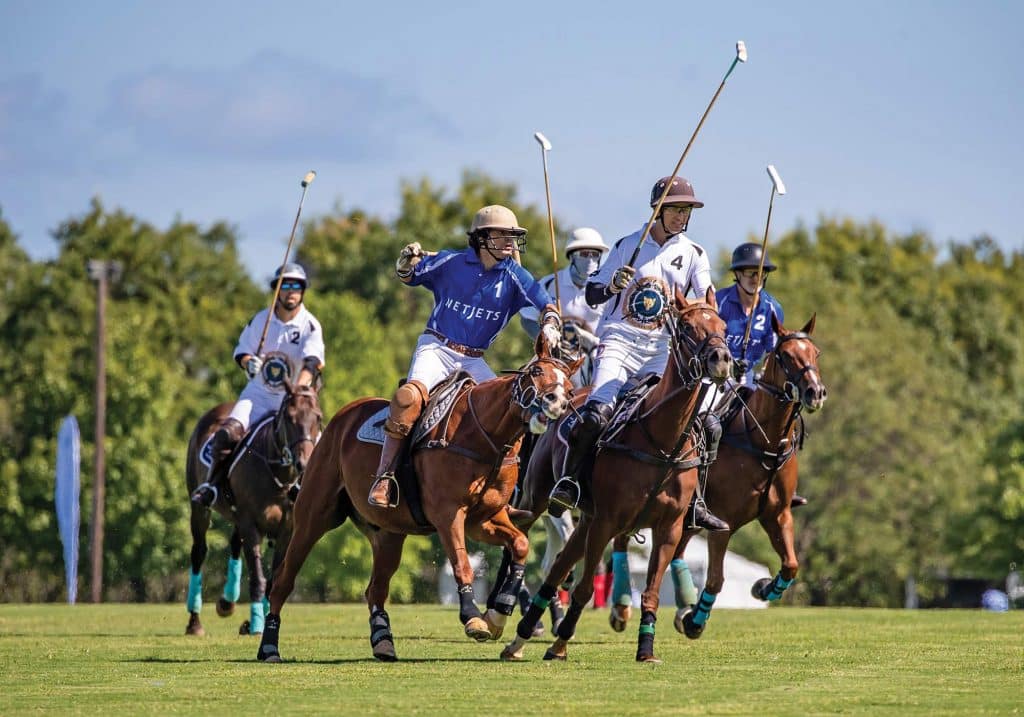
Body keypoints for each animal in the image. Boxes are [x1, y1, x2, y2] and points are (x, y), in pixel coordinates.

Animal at [183, 383, 319, 635]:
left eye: (318, 417)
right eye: (289, 418)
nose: (303, 464)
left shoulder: (287, 530)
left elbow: (275, 579)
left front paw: (261, 620)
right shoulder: (250, 522)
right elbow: (258, 577)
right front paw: (256, 623)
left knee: (234, 544)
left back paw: (227, 602)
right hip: (200, 508)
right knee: (199, 552)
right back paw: (194, 622)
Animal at [254, 333, 577, 659]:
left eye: (570, 387)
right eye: (536, 372)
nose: (556, 402)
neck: (487, 438)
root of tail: (341, 417)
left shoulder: (483, 520)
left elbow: (520, 544)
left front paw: (499, 612)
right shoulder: (448, 514)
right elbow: (461, 562)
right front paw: (473, 617)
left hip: (388, 533)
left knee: (376, 588)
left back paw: (383, 641)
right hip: (313, 517)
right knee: (283, 580)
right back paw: (269, 646)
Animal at [499, 288, 733, 663]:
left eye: (722, 326)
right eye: (686, 326)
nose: (721, 360)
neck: (662, 442)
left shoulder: (669, 528)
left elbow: (650, 591)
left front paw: (647, 648)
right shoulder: (608, 521)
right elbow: (582, 588)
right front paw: (560, 643)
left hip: (586, 519)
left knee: (557, 567)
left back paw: (521, 635)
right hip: (537, 499)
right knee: (519, 542)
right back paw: (499, 620)